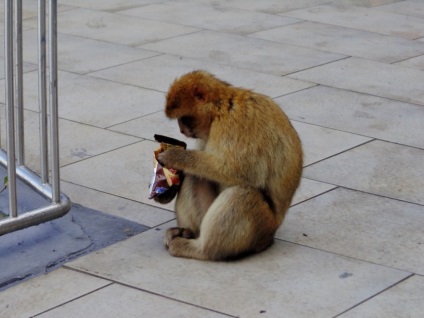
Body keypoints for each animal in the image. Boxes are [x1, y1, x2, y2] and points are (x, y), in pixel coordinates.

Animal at [157, 70, 304, 260]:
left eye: (184, 118)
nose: (182, 130)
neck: (221, 106)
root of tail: (269, 237)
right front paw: (166, 188)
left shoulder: (235, 123)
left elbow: (241, 172)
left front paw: (176, 157)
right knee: (194, 176)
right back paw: (187, 232)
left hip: (262, 227)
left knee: (243, 194)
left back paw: (202, 250)